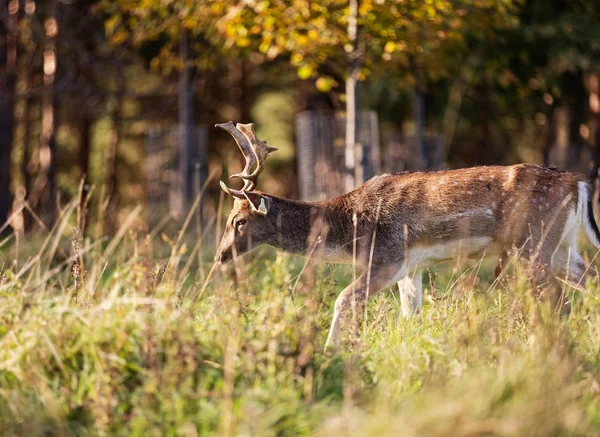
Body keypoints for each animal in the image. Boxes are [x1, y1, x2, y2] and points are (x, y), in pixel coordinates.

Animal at [214, 120, 600, 350]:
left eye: (239, 221)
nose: (219, 255)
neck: (349, 228)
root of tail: (578, 184)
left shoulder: (388, 257)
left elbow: (343, 299)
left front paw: (330, 351)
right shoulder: (411, 267)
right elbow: (410, 314)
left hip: (533, 244)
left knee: (559, 301)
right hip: (561, 247)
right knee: (589, 279)